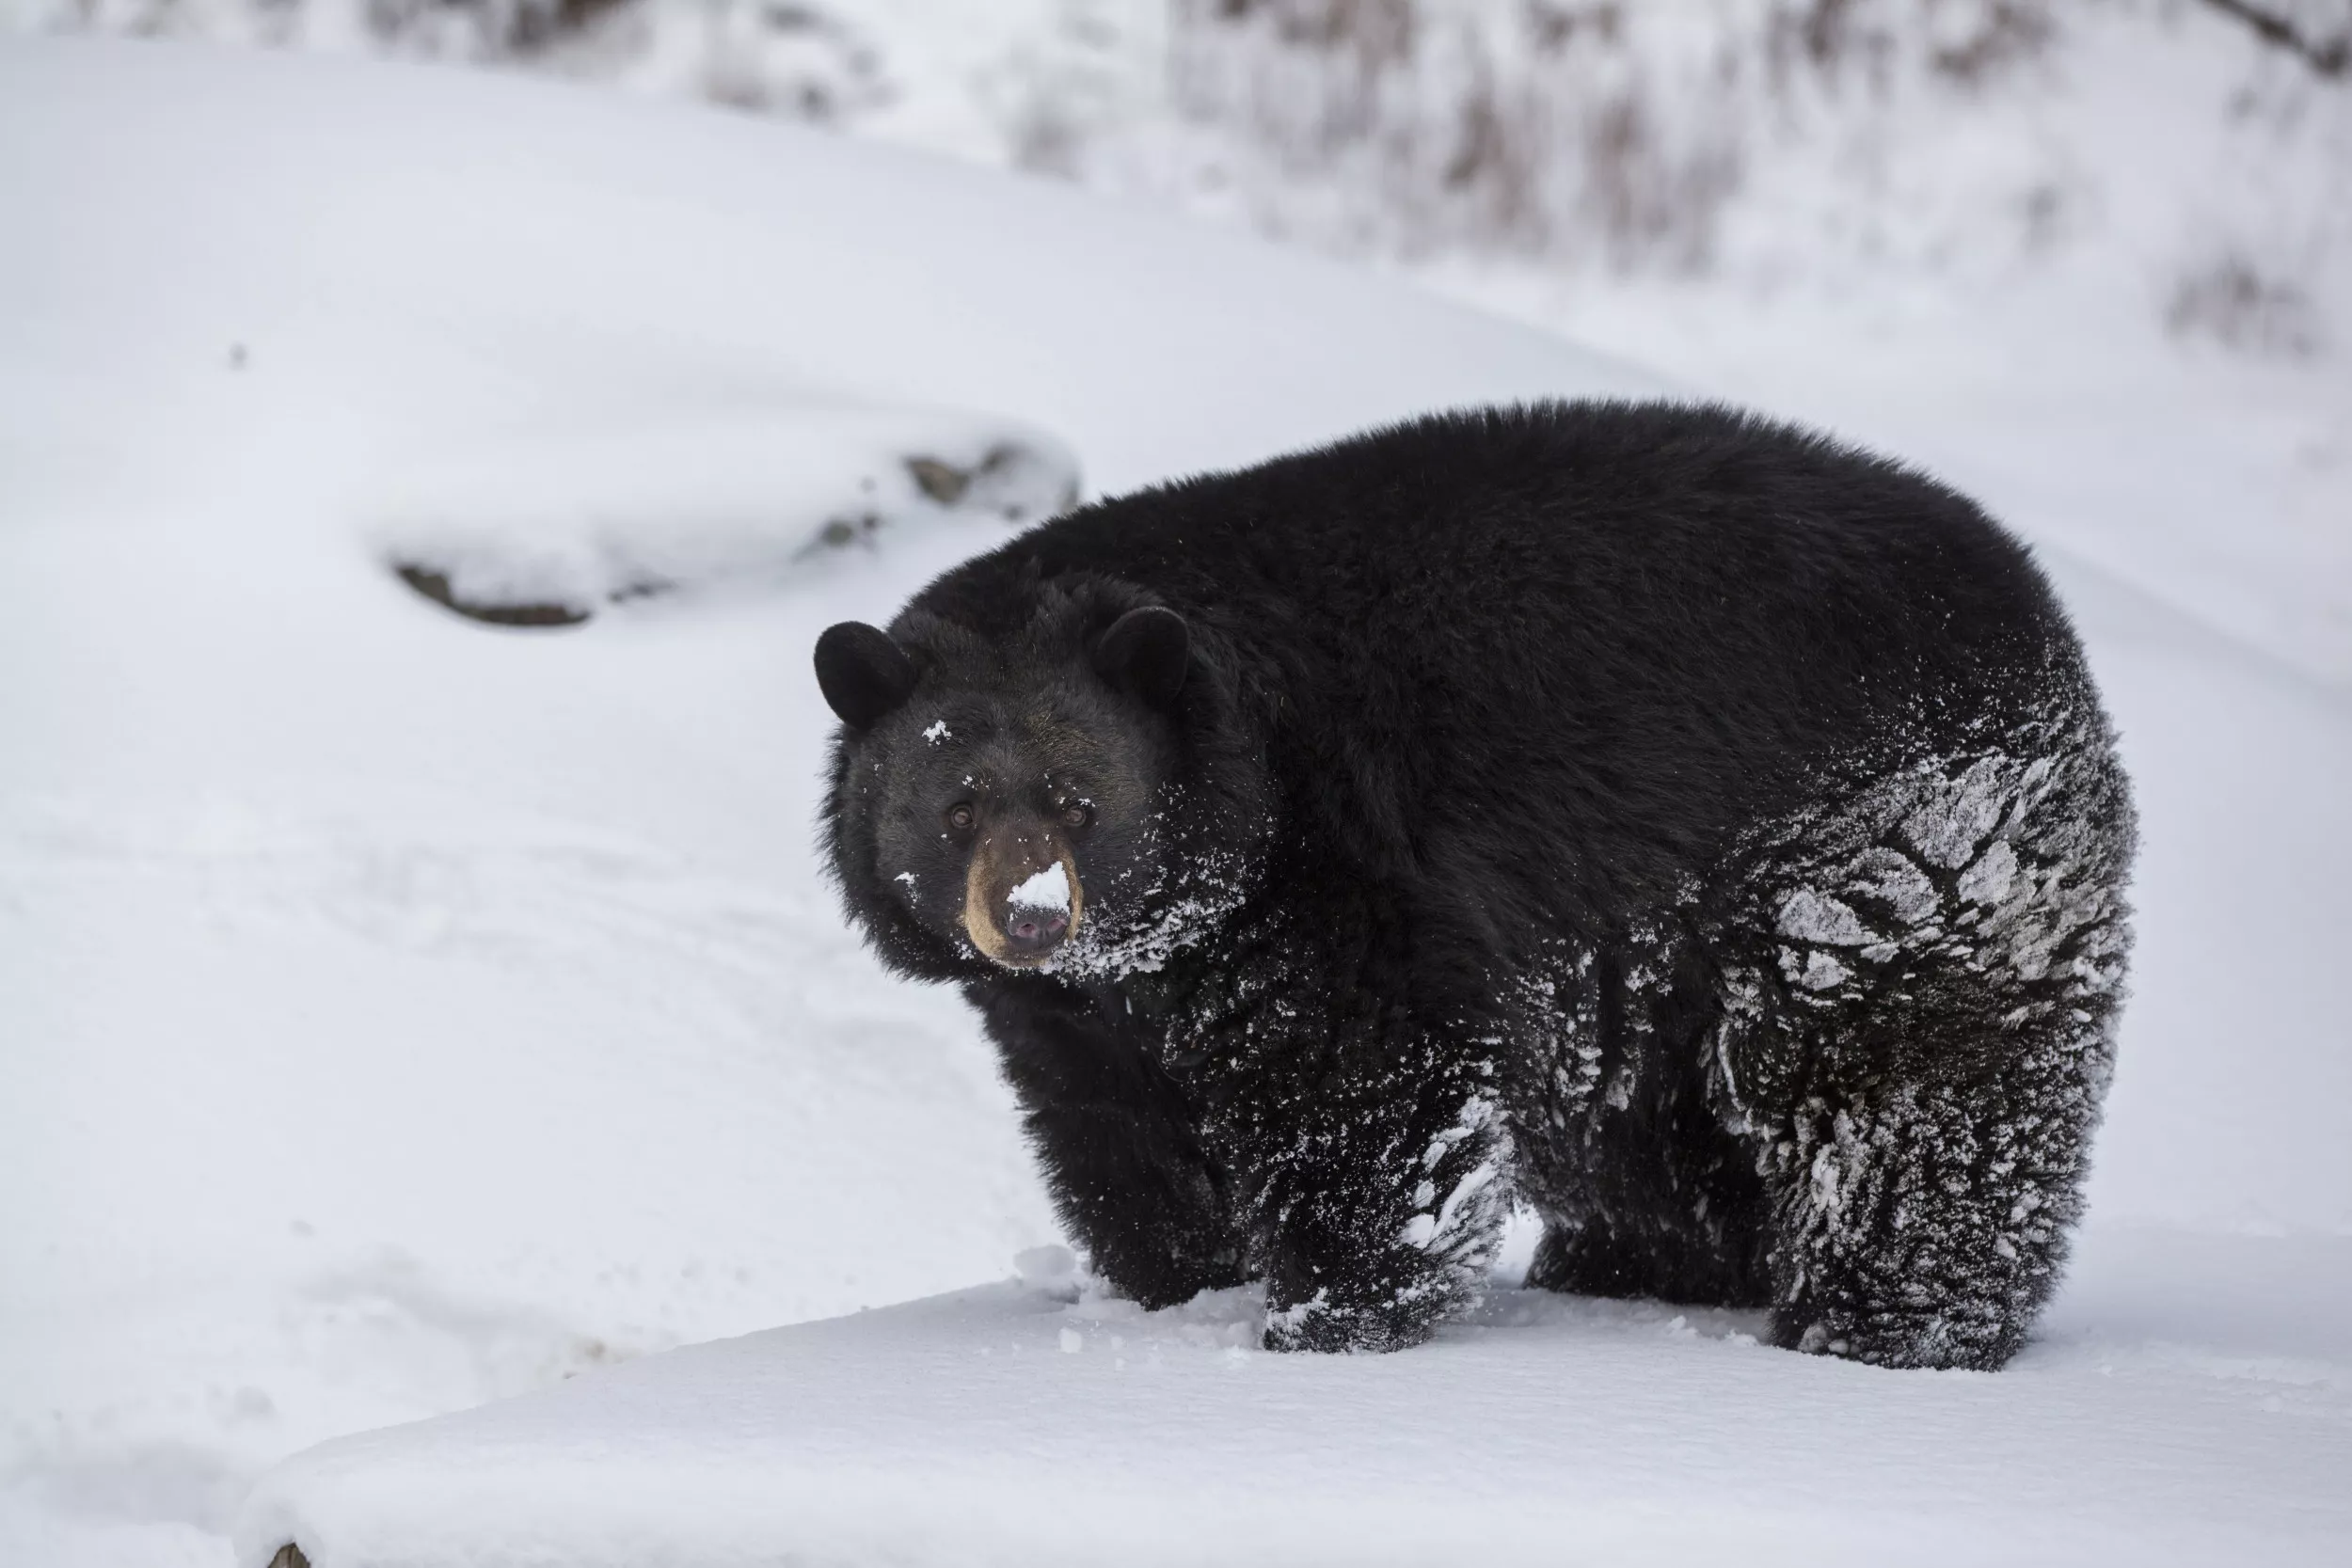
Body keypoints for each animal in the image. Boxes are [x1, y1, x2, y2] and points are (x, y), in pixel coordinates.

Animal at [815, 399, 2134, 1369]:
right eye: (956, 806)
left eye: (1080, 801)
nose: (1030, 916)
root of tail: (2036, 601)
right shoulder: (1071, 1014)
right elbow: (1118, 1136)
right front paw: (1181, 1292)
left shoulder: (1338, 862)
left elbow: (1370, 1086)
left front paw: (1326, 1317)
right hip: (1664, 955)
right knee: (1650, 1128)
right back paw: (1636, 1270)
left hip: (1892, 843)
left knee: (1900, 1083)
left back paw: (1887, 1320)